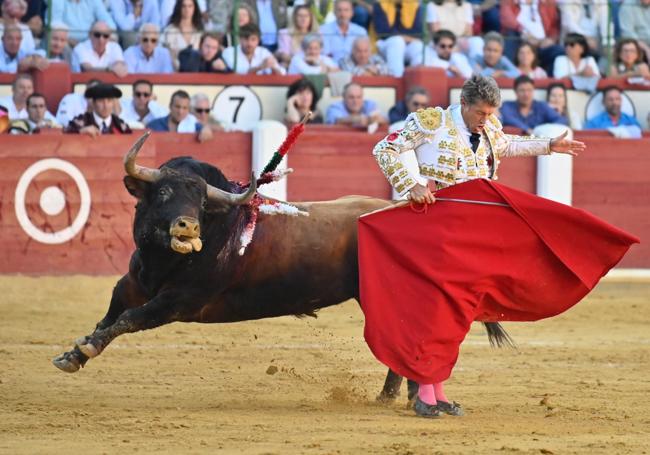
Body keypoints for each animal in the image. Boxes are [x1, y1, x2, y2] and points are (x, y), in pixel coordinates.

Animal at [53, 131, 508, 402]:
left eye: (200, 200)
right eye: (163, 192)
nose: (187, 225)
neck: (161, 261)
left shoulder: (179, 302)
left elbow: (129, 319)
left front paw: (86, 347)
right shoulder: (131, 284)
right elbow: (112, 314)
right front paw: (73, 354)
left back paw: (409, 397)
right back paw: (395, 397)